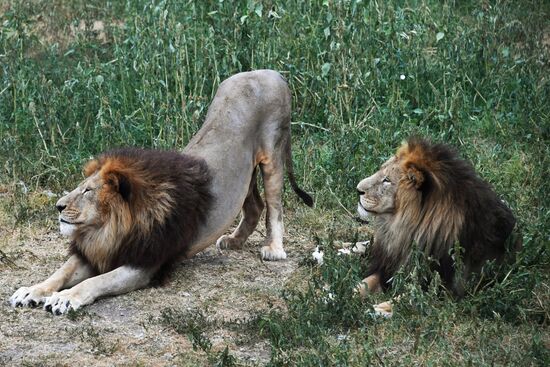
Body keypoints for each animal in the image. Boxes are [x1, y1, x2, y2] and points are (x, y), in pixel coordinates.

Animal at [9, 69, 314, 316]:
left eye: (88, 191)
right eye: (78, 187)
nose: (58, 206)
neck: (109, 227)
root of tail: (270, 72)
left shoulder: (142, 264)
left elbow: (95, 282)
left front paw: (66, 298)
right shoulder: (99, 252)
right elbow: (60, 272)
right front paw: (32, 290)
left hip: (272, 154)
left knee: (274, 207)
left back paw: (274, 250)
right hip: (244, 174)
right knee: (254, 206)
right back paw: (234, 241)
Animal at [358, 138, 520, 302]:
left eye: (387, 180)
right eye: (380, 171)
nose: (357, 189)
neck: (405, 230)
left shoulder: (443, 288)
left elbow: (405, 298)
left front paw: (379, 306)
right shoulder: (388, 265)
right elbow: (363, 284)